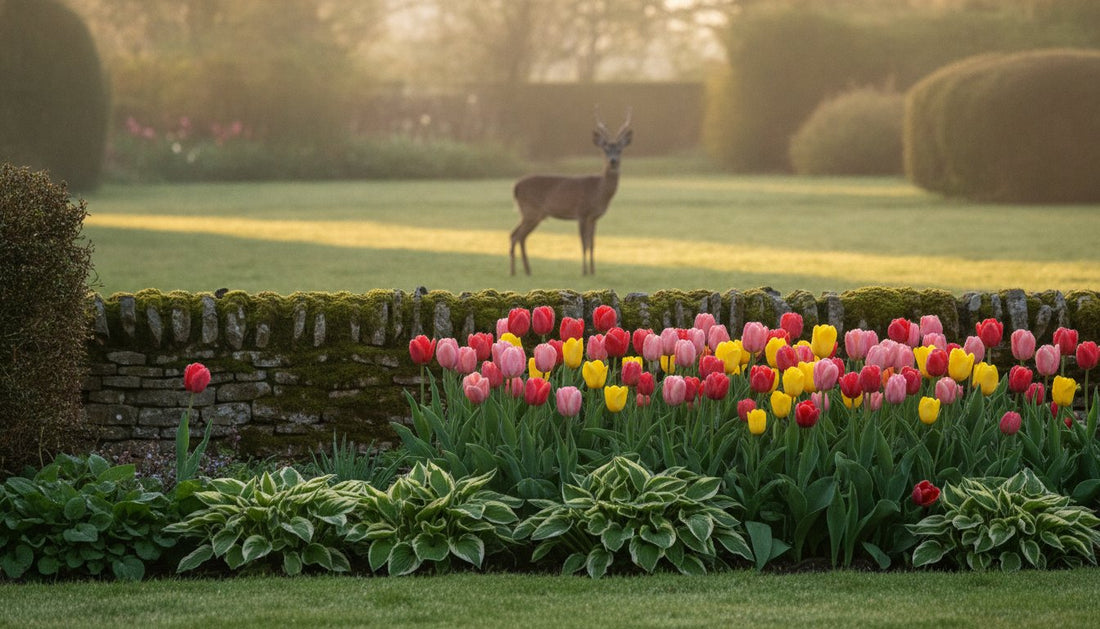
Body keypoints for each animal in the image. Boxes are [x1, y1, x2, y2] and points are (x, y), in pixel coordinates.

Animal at [510, 109, 632, 276]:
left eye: (619, 150)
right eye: (605, 149)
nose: (613, 161)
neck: (599, 191)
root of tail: (516, 187)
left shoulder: (594, 218)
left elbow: (592, 244)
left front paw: (593, 271)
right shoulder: (581, 213)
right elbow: (583, 243)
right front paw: (584, 272)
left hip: (533, 214)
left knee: (517, 235)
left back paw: (524, 271)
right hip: (530, 211)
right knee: (517, 235)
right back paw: (516, 271)